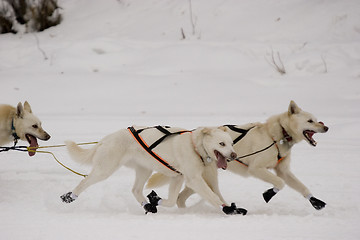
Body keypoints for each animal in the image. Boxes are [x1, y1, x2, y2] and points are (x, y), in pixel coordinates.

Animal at [61, 124, 248, 215]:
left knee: (136, 190)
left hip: (144, 170)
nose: (234, 155)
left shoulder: (178, 178)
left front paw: (155, 199)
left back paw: (147, 205)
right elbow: (213, 197)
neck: (194, 146)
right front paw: (227, 209)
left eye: (231, 143)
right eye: (221, 143)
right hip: (104, 169)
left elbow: (171, 200)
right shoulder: (193, 179)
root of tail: (105, 139)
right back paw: (69, 196)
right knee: (85, 181)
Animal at [148, 100, 330, 211]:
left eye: (316, 119)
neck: (277, 136)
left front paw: (315, 201)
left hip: (199, 179)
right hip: (209, 177)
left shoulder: (283, 171)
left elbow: (302, 187)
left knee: (181, 197)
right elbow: (279, 183)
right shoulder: (256, 169)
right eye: (310, 121)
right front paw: (269, 193)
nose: (326, 127)